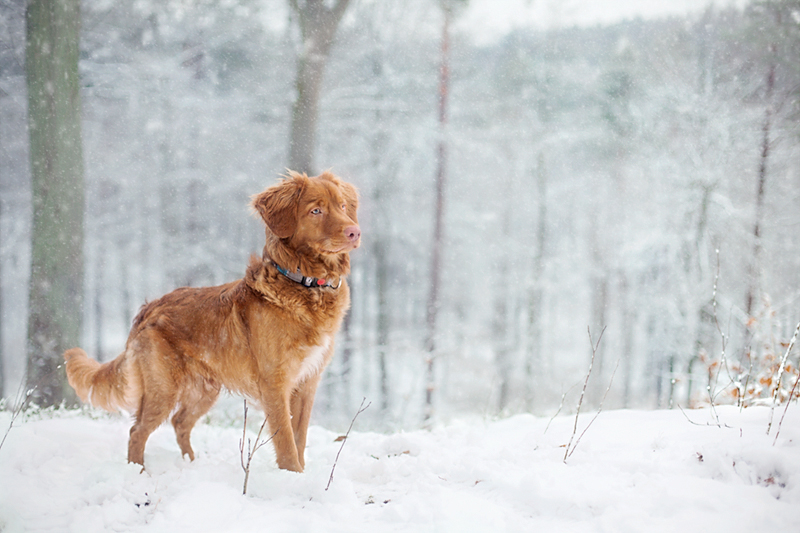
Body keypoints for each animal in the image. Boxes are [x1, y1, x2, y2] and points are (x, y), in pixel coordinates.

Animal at [62, 169, 360, 470]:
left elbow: (299, 440)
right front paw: (292, 476)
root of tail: (148, 308)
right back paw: (140, 472)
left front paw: (300, 476)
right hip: (164, 388)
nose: (355, 232)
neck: (305, 283)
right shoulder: (275, 384)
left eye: (342, 206)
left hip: (204, 390)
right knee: (138, 431)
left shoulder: (307, 383)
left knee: (179, 422)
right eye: (316, 210)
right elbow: (287, 445)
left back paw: (191, 465)